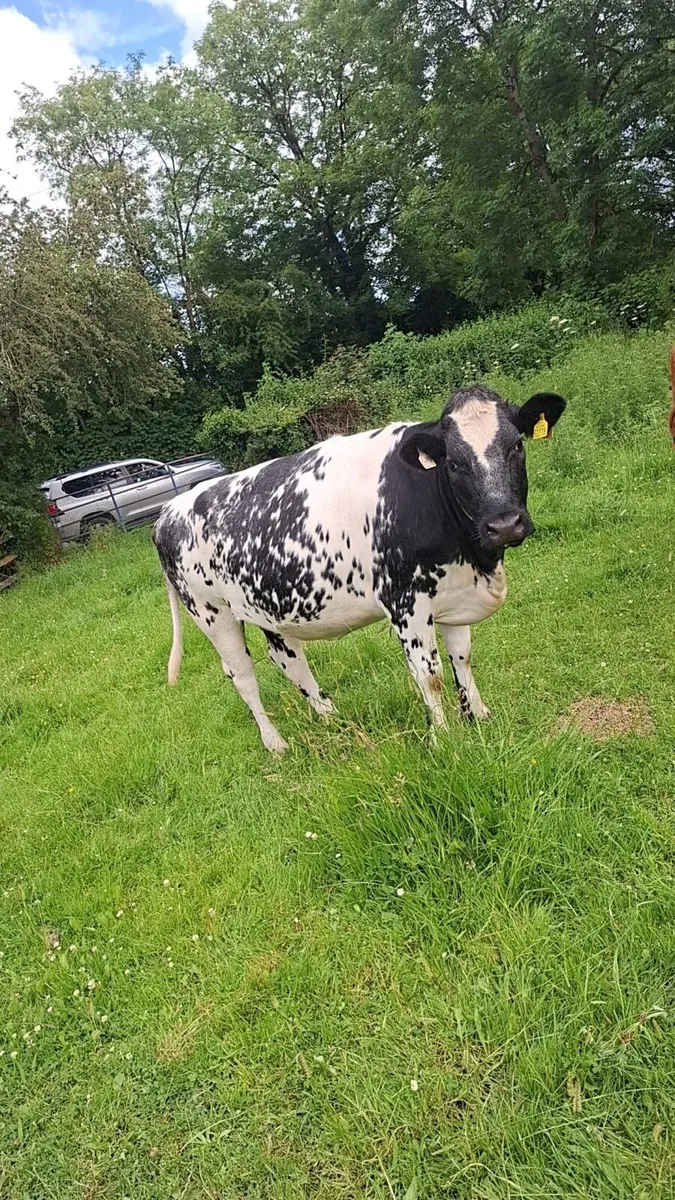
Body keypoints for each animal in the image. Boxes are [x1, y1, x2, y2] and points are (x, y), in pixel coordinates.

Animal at [153, 386, 566, 752]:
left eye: (517, 445)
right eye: (454, 463)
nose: (504, 524)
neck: (477, 559)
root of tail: (168, 511)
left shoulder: (454, 588)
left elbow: (462, 656)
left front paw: (478, 716)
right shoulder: (405, 602)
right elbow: (429, 675)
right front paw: (445, 739)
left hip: (266, 606)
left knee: (288, 660)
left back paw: (331, 718)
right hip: (212, 613)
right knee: (242, 675)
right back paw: (276, 744)